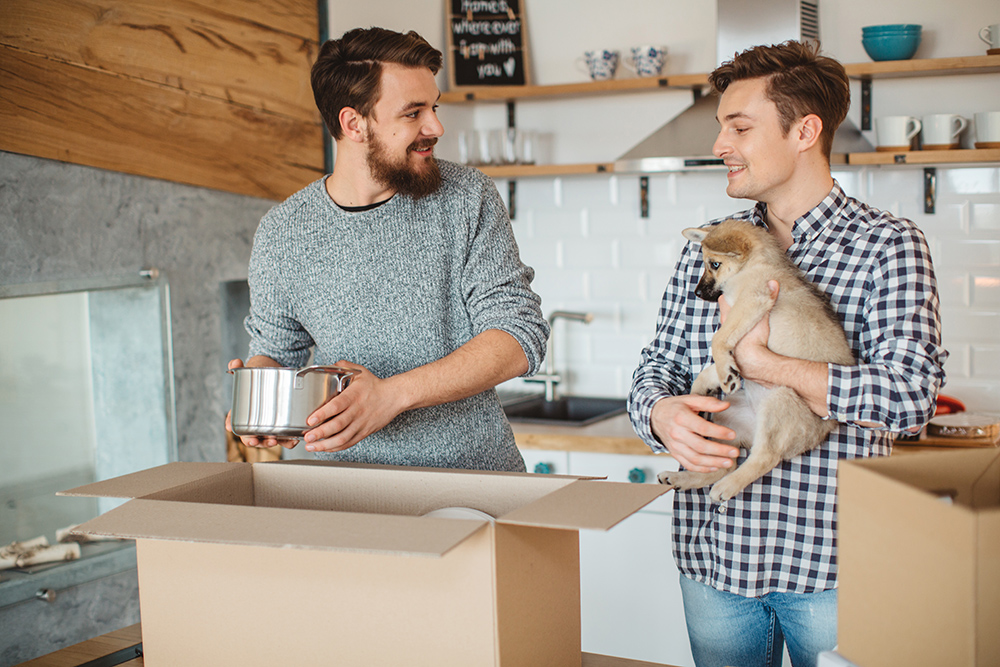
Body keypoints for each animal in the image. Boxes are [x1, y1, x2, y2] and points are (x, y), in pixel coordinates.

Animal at [660, 222, 856, 504]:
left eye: (714, 264)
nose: (696, 293)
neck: (754, 265)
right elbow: (714, 365)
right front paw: (709, 384)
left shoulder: (752, 301)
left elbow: (718, 340)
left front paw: (724, 373)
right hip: (727, 416)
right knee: (726, 463)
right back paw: (682, 478)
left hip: (780, 400)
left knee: (764, 457)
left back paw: (726, 487)